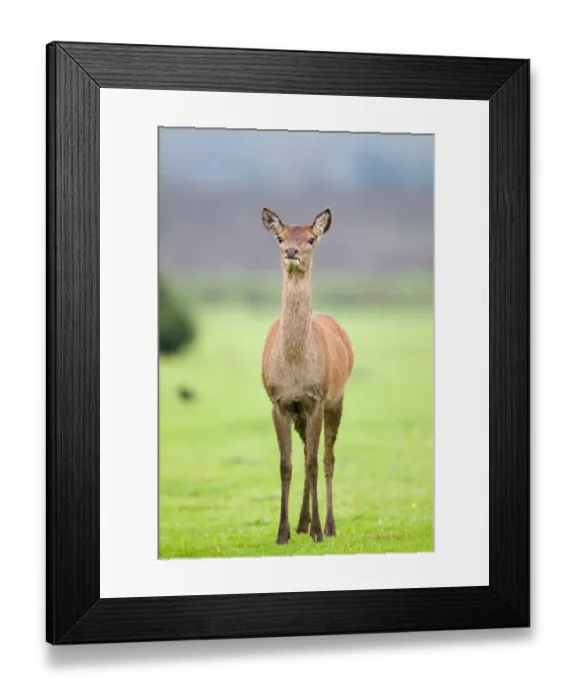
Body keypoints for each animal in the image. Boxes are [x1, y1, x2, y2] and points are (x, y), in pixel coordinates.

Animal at [260, 207, 354, 545]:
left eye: (311, 238)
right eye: (280, 237)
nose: (292, 252)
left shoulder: (315, 399)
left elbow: (314, 463)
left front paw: (317, 531)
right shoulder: (280, 402)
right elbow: (285, 464)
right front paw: (283, 532)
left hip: (336, 400)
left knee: (327, 458)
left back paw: (327, 525)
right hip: (301, 413)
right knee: (303, 454)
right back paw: (302, 522)